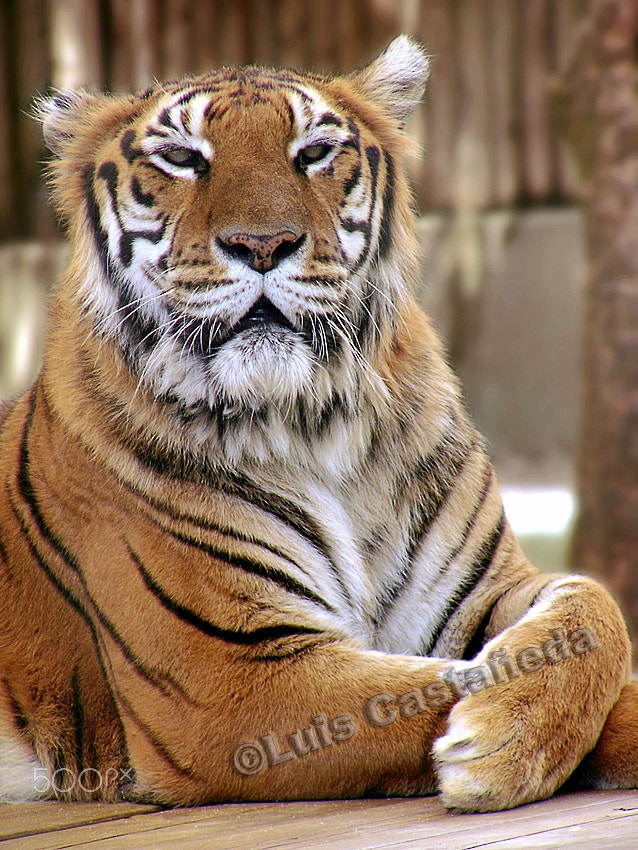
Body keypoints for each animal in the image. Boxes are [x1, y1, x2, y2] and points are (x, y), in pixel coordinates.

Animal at [1, 34, 638, 808]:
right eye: (181, 157)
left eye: (314, 151)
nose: (263, 244)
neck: (314, 421)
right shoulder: (233, 675)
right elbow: (417, 693)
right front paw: (499, 743)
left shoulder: (481, 592)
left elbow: (594, 609)